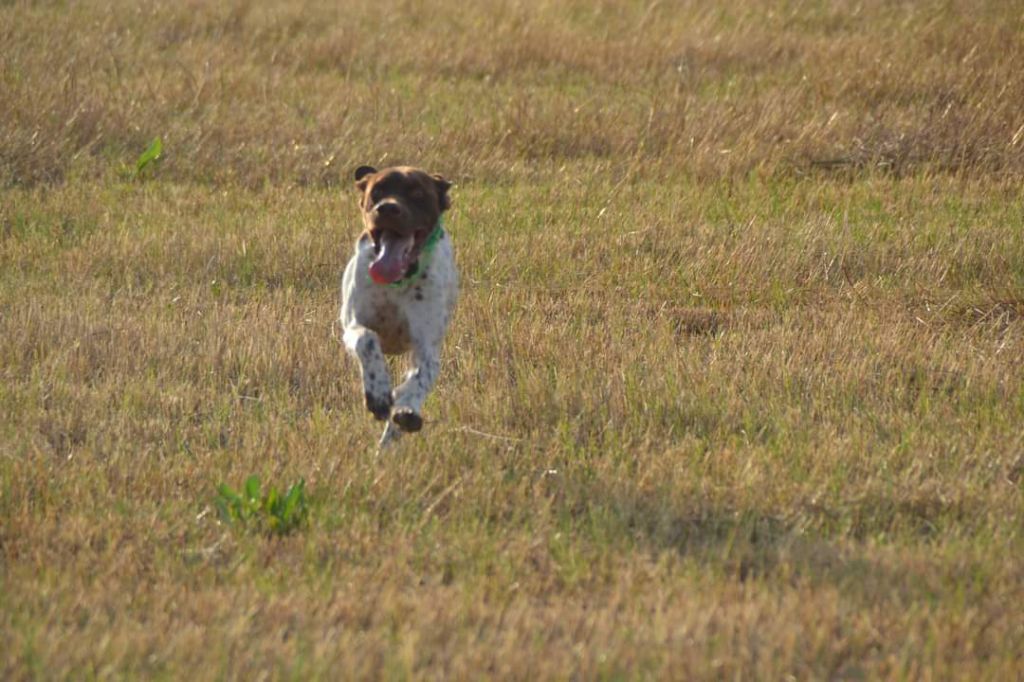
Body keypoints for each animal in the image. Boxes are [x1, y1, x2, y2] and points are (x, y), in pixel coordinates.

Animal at [339, 164, 456, 446]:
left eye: (417, 194)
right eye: (377, 192)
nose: (388, 209)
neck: (398, 280)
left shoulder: (426, 346)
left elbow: (420, 376)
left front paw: (406, 408)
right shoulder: (352, 325)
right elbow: (367, 339)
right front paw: (378, 393)